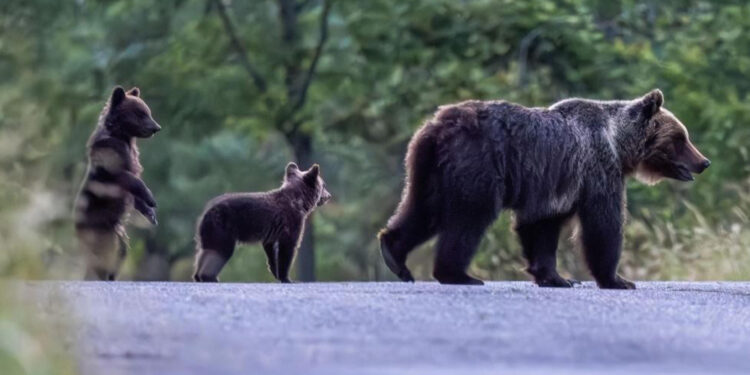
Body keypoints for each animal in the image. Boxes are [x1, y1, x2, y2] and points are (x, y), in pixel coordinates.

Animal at [382, 89, 712, 290]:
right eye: (681, 138)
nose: (703, 162)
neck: (619, 145)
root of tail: (438, 126)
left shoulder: (557, 186)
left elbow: (541, 227)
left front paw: (556, 277)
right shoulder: (597, 169)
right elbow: (603, 224)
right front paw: (617, 279)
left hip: (428, 169)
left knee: (422, 210)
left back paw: (395, 256)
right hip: (477, 163)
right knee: (469, 218)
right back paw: (458, 274)